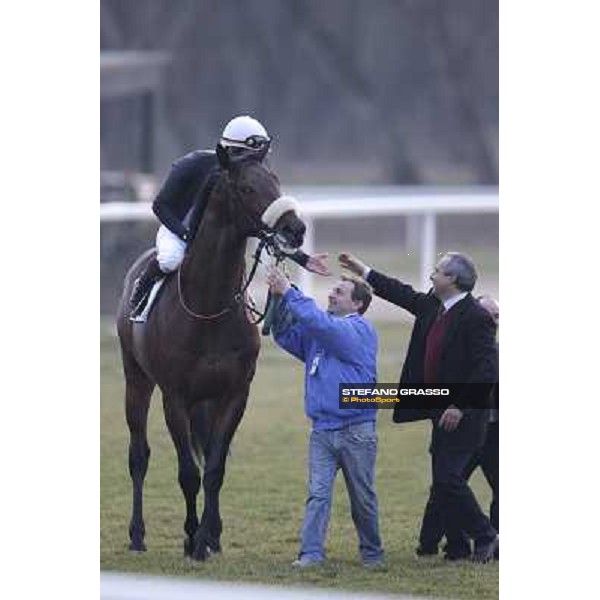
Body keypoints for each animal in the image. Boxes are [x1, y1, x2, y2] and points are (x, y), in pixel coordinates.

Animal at [115, 157, 308, 560]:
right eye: (247, 187)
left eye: (276, 180)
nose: (294, 228)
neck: (210, 307)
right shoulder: (175, 397)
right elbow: (188, 473)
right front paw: (192, 538)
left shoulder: (234, 393)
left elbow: (215, 469)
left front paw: (207, 536)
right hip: (136, 378)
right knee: (138, 455)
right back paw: (138, 535)